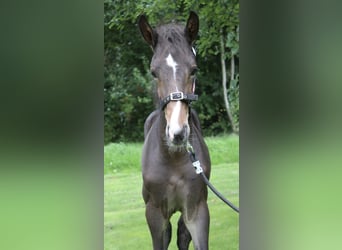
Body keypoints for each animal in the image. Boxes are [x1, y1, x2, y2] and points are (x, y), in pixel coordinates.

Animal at [139, 12, 211, 250]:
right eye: (154, 72)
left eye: (194, 69)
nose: (177, 134)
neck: (173, 159)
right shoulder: (154, 214)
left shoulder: (197, 210)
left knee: (181, 233)